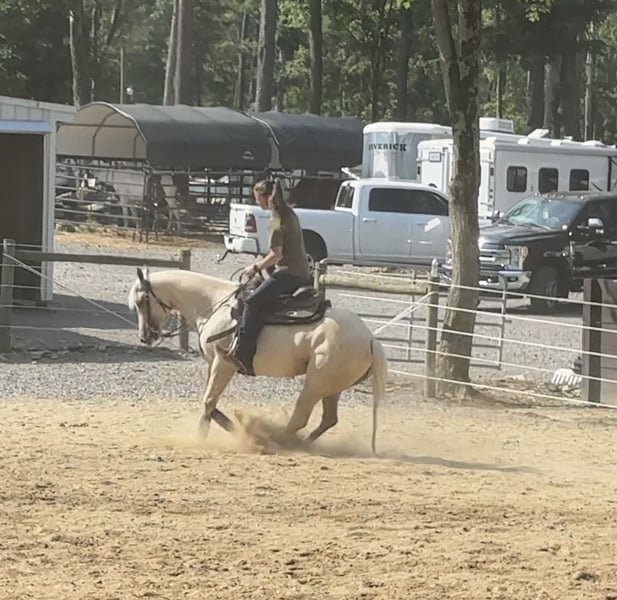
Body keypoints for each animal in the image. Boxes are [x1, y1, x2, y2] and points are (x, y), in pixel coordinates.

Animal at [127, 267, 388, 453]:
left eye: (140, 302)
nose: (145, 336)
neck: (214, 304)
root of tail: (371, 340)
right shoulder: (212, 363)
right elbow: (209, 401)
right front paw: (227, 424)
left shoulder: (224, 363)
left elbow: (208, 401)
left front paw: (201, 436)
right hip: (332, 388)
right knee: (328, 419)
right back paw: (296, 442)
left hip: (316, 384)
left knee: (300, 418)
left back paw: (273, 439)